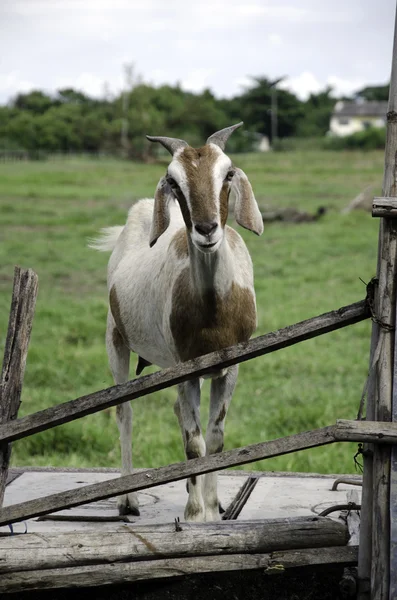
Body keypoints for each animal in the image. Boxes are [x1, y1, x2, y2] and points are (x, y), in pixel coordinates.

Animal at [90, 123, 262, 520]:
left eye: (228, 173)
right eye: (173, 180)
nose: (206, 229)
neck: (214, 311)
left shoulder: (233, 365)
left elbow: (215, 437)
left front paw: (213, 508)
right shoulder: (186, 367)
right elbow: (194, 442)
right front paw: (196, 513)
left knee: (176, 412)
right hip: (115, 337)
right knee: (124, 411)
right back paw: (128, 501)